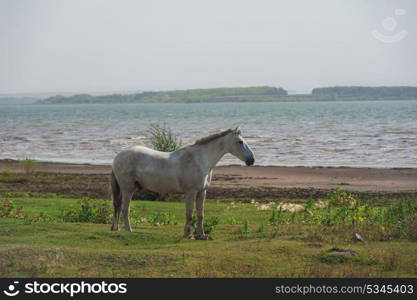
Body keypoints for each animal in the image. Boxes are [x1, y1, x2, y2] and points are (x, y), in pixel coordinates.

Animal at [109, 126, 254, 239]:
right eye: (240, 142)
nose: (251, 160)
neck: (199, 160)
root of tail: (117, 157)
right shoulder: (190, 192)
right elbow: (189, 214)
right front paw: (188, 235)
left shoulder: (202, 192)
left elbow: (200, 214)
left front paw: (201, 235)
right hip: (128, 189)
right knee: (125, 209)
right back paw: (129, 230)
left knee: (118, 207)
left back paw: (116, 228)